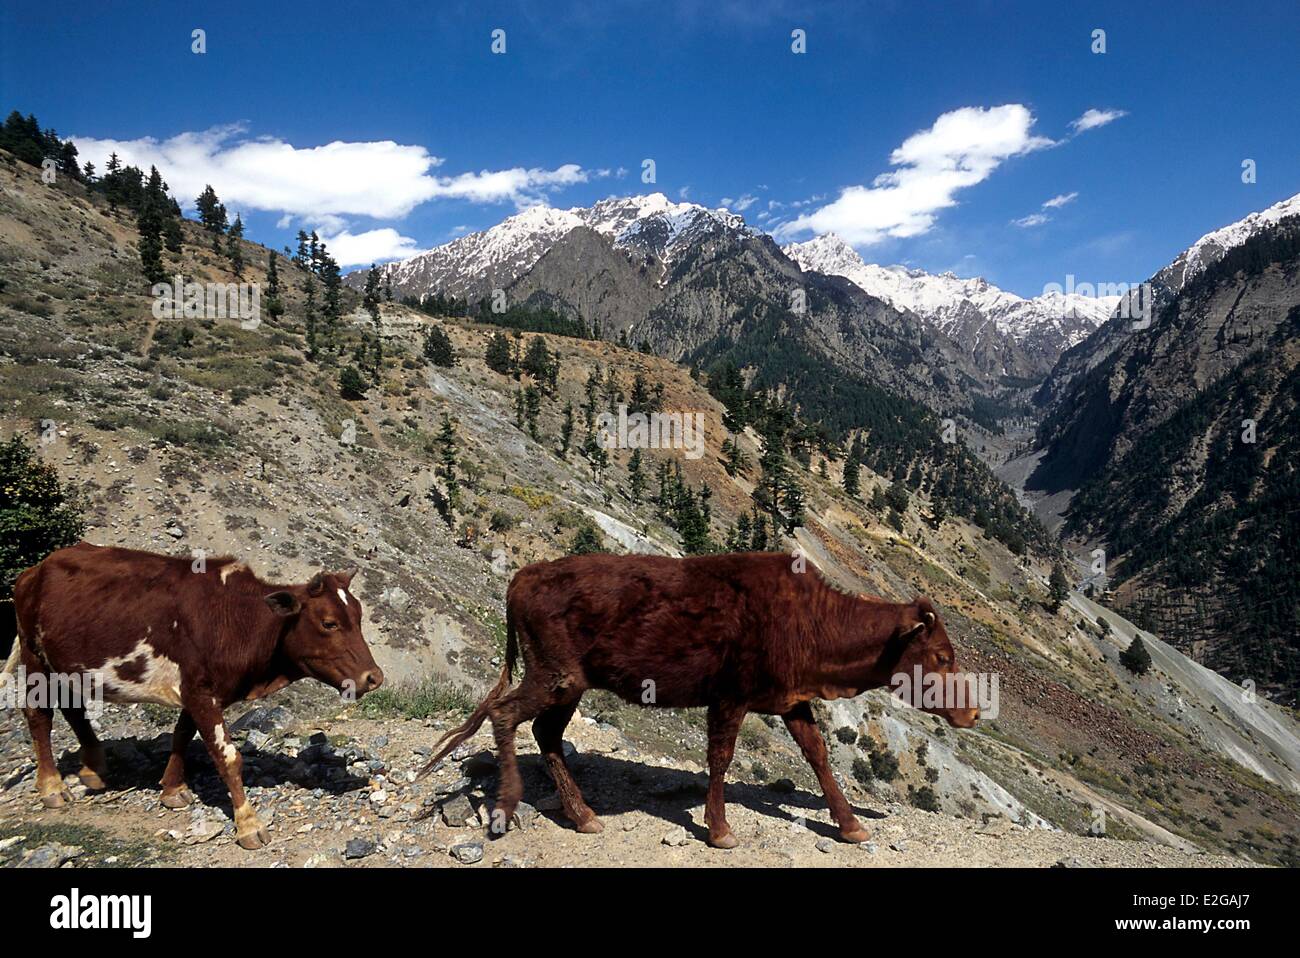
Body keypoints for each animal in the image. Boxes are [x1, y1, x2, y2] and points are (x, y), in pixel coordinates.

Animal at [2, 540, 382, 847]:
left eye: (359, 616)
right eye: (329, 622)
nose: (373, 677)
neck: (238, 620)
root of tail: (36, 569)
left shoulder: (199, 690)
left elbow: (183, 733)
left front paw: (172, 788)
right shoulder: (199, 689)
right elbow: (227, 756)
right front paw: (248, 824)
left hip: (70, 665)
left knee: (74, 709)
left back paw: (94, 768)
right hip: (35, 657)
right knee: (39, 716)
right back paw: (52, 787)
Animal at [421, 548, 977, 847]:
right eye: (944, 655)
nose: (972, 710)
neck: (813, 623)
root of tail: (524, 574)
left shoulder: (790, 699)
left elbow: (818, 756)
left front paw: (850, 825)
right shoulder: (731, 693)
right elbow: (721, 758)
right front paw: (720, 828)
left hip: (568, 683)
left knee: (546, 733)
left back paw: (582, 815)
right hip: (552, 675)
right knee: (505, 713)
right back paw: (507, 805)